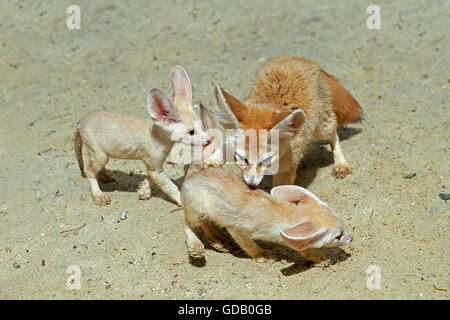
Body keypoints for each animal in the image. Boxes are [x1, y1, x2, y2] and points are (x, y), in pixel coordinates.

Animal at [75, 66, 211, 206]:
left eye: (202, 127)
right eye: (191, 132)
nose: (208, 140)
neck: (158, 137)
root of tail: (81, 121)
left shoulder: (153, 165)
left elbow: (151, 178)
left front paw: (144, 190)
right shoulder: (155, 166)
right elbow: (169, 185)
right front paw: (182, 201)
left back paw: (104, 176)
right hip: (100, 154)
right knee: (89, 170)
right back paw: (98, 195)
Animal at [179, 105, 352, 264]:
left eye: (343, 226)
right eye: (338, 236)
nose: (350, 238)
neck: (282, 214)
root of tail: (195, 173)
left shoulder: (292, 239)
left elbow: (303, 248)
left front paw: (318, 258)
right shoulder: (237, 229)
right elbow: (249, 245)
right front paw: (261, 254)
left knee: (205, 223)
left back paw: (217, 240)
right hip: (198, 210)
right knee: (188, 223)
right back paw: (196, 244)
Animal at [215, 55, 362, 188]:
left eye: (266, 160)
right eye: (244, 159)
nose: (251, 185)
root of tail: (301, 60)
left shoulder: (287, 170)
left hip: (322, 129)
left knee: (334, 133)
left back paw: (340, 163)